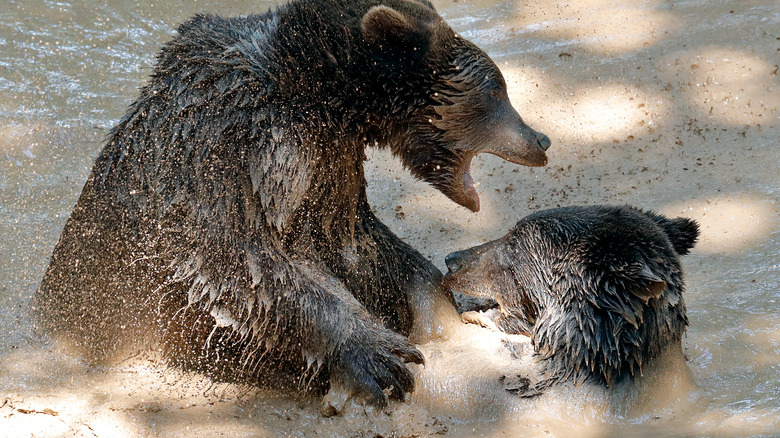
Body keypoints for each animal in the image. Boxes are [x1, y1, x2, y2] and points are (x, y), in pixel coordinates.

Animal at [33, 0, 552, 408]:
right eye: (496, 89)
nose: (541, 139)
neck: (316, 94)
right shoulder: (237, 145)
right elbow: (240, 261)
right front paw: (380, 355)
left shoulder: (327, 162)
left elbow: (357, 242)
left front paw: (445, 310)